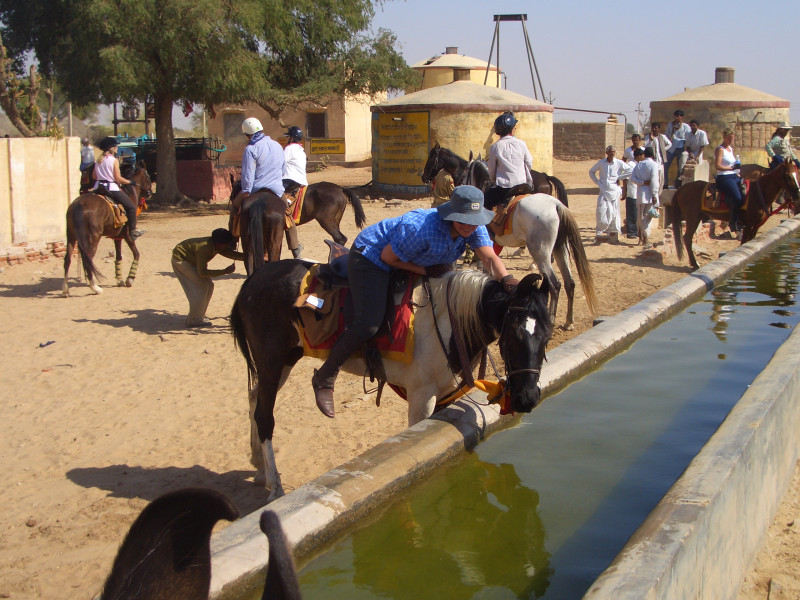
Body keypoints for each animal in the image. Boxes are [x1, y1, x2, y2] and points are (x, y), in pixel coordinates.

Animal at [61, 163, 152, 296]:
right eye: (148, 176)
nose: (150, 192)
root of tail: (78, 204)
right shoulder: (127, 235)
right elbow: (136, 254)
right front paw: (130, 278)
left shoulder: (117, 236)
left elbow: (118, 257)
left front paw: (119, 279)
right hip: (94, 237)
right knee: (88, 259)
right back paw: (95, 287)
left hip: (71, 236)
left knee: (68, 259)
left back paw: (66, 289)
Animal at [228, 268, 552, 502]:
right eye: (514, 333)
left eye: (546, 335)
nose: (527, 398)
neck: (447, 323)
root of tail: (254, 279)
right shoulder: (422, 397)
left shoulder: (444, 396)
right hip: (272, 361)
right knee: (264, 415)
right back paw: (275, 487)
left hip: (282, 362)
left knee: (254, 400)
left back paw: (260, 469)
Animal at [668, 161, 800, 270]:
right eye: (788, 175)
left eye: (797, 174)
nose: (797, 194)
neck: (758, 193)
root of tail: (682, 188)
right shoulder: (748, 225)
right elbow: (744, 243)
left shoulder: (755, 226)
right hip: (692, 218)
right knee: (687, 238)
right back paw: (695, 264)